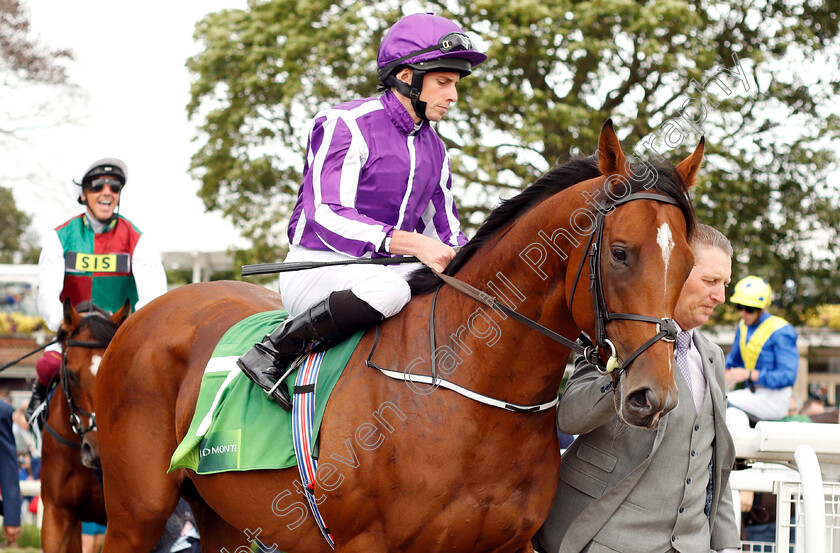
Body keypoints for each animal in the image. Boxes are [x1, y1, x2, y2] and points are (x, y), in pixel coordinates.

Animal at [85, 122, 704, 552]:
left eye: (689, 261)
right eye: (620, 252)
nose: (653, 396)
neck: (470, 394)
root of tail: (146, 314)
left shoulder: (504, 543)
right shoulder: (368, 543)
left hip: (222, 514)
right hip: (136, 511)